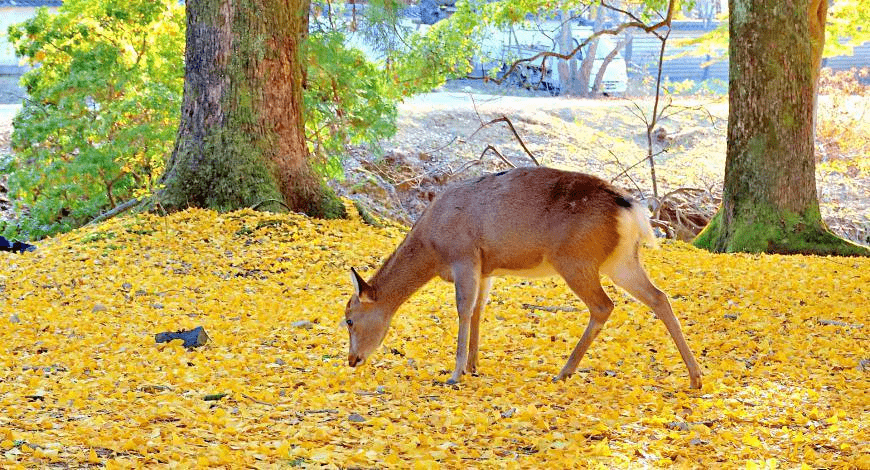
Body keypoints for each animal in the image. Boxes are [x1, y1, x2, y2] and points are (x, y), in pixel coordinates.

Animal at [344, 166, 704, 390]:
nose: (351, 360)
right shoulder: (486, 267)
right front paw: (473, 365)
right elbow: (479, 310)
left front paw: (455, 373)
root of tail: (633, 210)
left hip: (576, 259)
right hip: (621, 260)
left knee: (604, 305)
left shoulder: (464, 255)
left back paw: (564, 371)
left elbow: (463, 309)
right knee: (659, 296)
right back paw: (695, 377)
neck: (433, 248)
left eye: (348, 319)